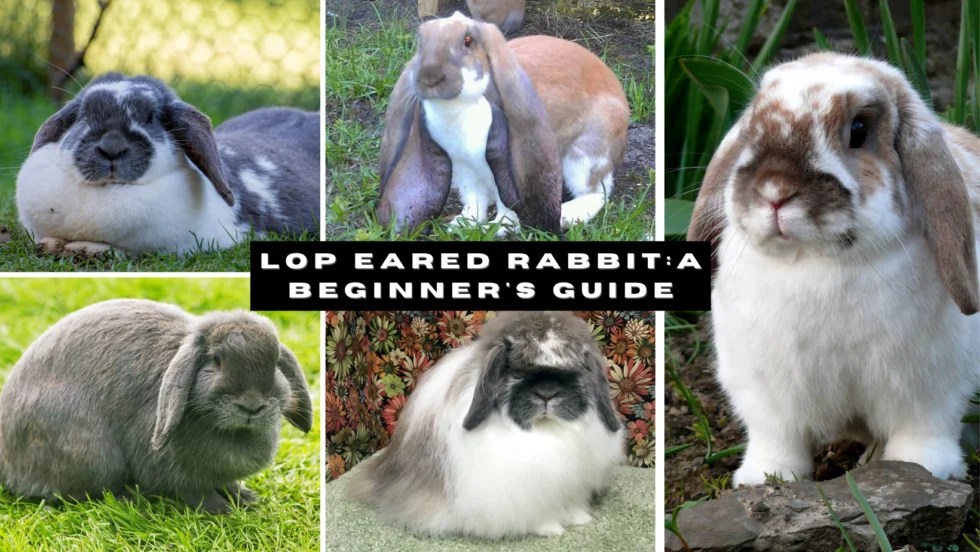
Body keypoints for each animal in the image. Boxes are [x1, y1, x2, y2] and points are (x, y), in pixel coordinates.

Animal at [0, 299, 313, 513]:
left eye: (275, 363)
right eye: (216, 360)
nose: (251, 405)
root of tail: (8, 464)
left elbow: (226, 483)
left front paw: (244, 499)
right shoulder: (175, 472)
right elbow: (196, 492)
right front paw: (221, 510)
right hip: (92, 455)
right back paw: (128, 498)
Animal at [347, 311, 624, 538]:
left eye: (572, 372)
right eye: (517, 370)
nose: (546, 393)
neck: (545, 430)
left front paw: (579, 518)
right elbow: (537, 514)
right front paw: (551, 529)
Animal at [376, 12, 629, 235]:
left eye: (468, 40)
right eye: (421, 41)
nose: (430, 77)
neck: (458, 107)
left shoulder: (502, 166)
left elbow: (507, 205)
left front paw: (498, 228)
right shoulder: (463, 168)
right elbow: (475, 199)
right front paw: (464, 224)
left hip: (584, 155)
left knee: (599, 191)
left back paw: (568, 215)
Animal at [687, 53, 980, 486]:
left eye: (859, 130)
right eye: (753, 125)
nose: (775, 189)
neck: (817, 262)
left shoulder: (928, 385)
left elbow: (925, 428)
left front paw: (922, 468)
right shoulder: (767, 393)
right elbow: (777, 437)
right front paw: (766, 477)